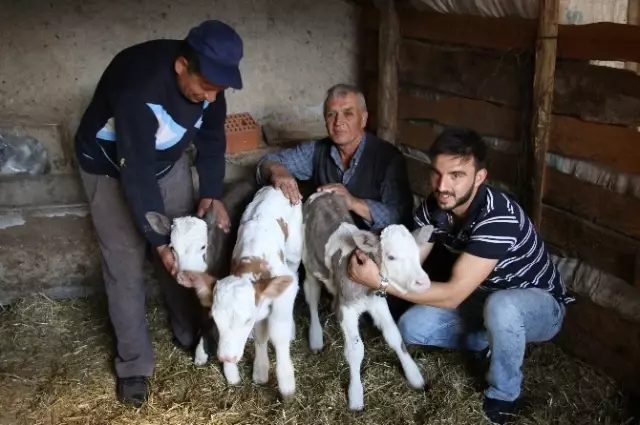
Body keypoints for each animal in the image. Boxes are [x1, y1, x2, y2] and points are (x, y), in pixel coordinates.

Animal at [178, 185, 302, 398]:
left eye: (246, 320)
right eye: (216, 319)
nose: (227, 357)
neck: (253, 260)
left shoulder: (285, 293)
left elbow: (278, 334)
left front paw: (287, 386)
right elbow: (261, 333)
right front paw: (259, 373)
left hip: (295, 251)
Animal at [302, 190, 436, 410]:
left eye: (417, 253)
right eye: (391, 257)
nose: (423, 282)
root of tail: (323, 193)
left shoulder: (378, 302)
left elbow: (395, 336)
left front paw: (414, 375)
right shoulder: (347, 308)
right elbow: (356, 349)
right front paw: (356, 395)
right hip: (309, 263)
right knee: (311, 296)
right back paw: (315, 337)